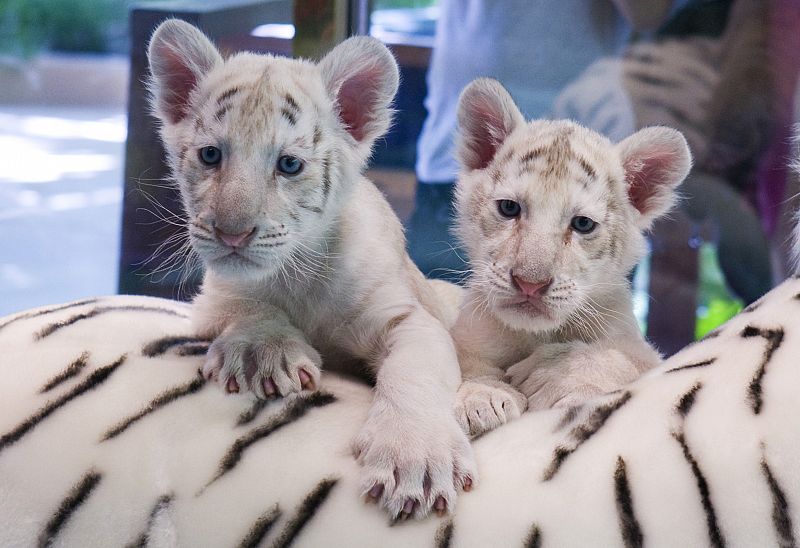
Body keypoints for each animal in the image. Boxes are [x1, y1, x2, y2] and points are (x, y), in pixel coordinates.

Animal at [145, 19, 475, 520]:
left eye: (289, 164)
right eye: (210, 156)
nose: (232, 233)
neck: (296, 274)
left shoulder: (410, 318)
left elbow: (414, 373)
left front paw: (413, 458)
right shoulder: (213, 299)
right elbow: (249, 306)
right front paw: (264, 355)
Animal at [449, 78, 692, 438]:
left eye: (582, 224)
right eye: (509, 208)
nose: (530, 284)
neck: (538, 334)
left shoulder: (642, 350)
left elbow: (620, 359)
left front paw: (552, 373)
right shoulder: (466, 335)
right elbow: (467, 364)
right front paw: (482, 397)